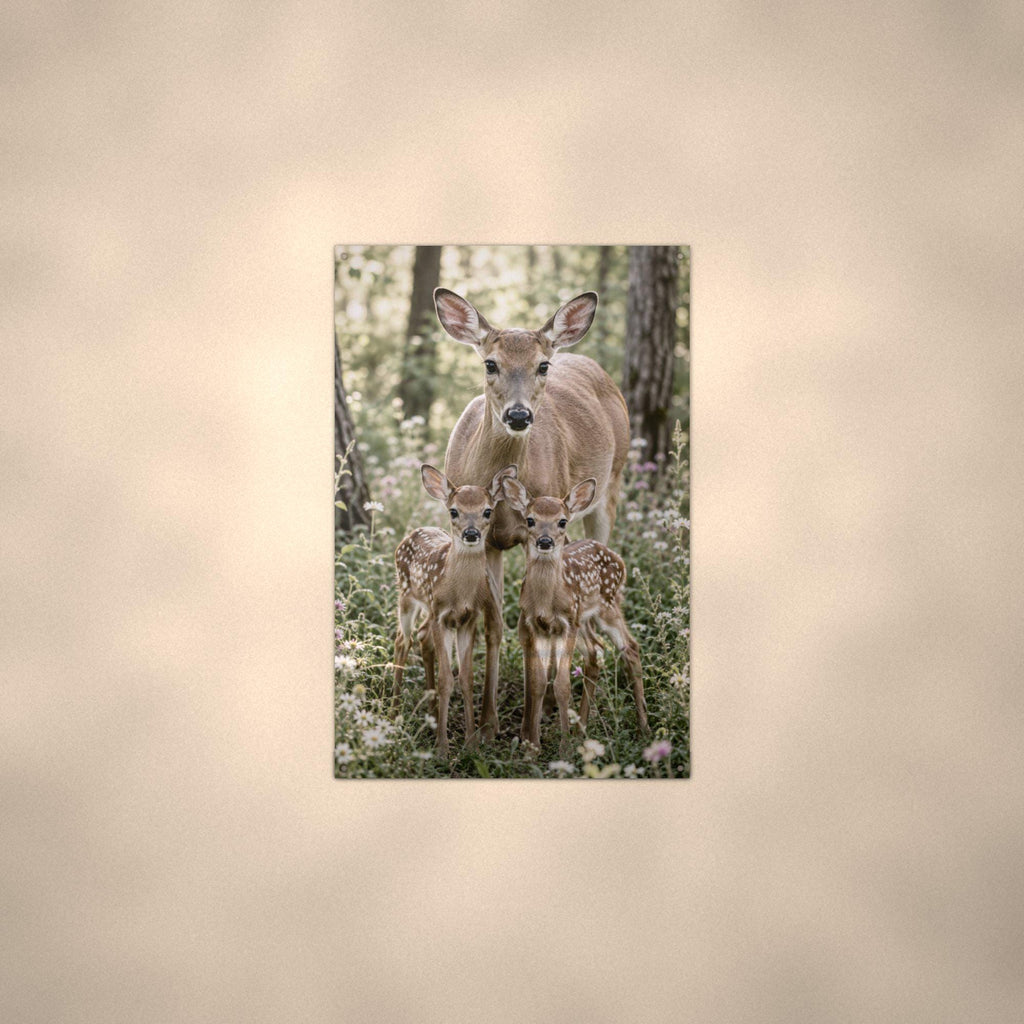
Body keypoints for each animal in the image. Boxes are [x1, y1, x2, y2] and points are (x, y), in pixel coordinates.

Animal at [392, 463, 517, 758]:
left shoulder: (467, 619)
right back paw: (392, 713)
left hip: (427, 607)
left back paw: (431, 713)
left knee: (421, 638)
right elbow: (446, 679)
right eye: (453, 511)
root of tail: (412, 532)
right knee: (402, 640)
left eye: (487, 510)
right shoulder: (441, 617)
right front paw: (442, 748)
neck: (458, 591)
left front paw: (471, 744)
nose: (471, 534)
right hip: (407, 596)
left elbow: (467, 678)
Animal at [433, 287, 631, 735]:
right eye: (490, 363)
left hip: (610, 485)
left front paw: (528, 726)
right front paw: (487, 724)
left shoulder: (535, 532)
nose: (519, 414)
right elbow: (494, 626)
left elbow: (529, 627)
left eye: (542, 365)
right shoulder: (485, 540)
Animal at [501, 474, 650, 756]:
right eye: (530, 519)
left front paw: (564, 749)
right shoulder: (538, 626)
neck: (546, 601)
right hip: (583, 620)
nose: (545, 541)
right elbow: (538, 683)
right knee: (596, 651)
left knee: (630, 647)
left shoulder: (566, 624)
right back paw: (582, 729)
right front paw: (532, 749)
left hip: (606, 606)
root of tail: (619, 559)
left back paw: (643, 729)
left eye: (562, 521)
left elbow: (562, 685)